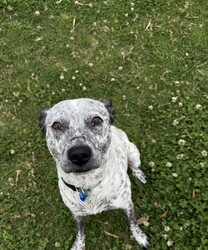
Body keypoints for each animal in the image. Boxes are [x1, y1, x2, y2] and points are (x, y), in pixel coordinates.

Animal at [39, 98, 149, 250]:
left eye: (96, 120)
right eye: (57, 125)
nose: (79, 154)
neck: (87, 183)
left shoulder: (127, 204)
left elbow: (133, 223)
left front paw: (140, 237)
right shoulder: (77, 214)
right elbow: (80, 233)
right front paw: (78, 245)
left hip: (133, 153)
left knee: (134, 166)